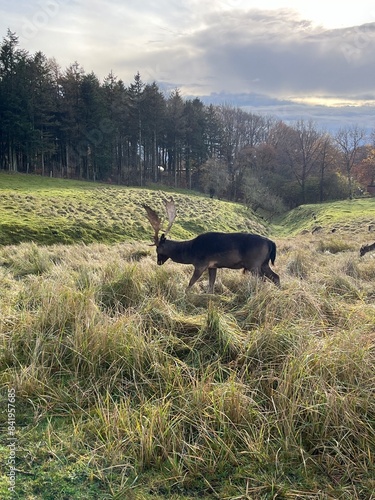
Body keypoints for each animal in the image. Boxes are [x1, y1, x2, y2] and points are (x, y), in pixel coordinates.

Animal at [142, 197, 280, 292]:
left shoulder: (201, 264)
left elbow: (190, 283)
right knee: (276, 277)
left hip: (254, 264)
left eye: (158, 249)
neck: (190, 252)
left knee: (263, 280)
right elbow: (211, 285)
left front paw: (185, 295)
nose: (158, 262)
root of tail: (271, 243)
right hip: (264, 263)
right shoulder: (212, 266)